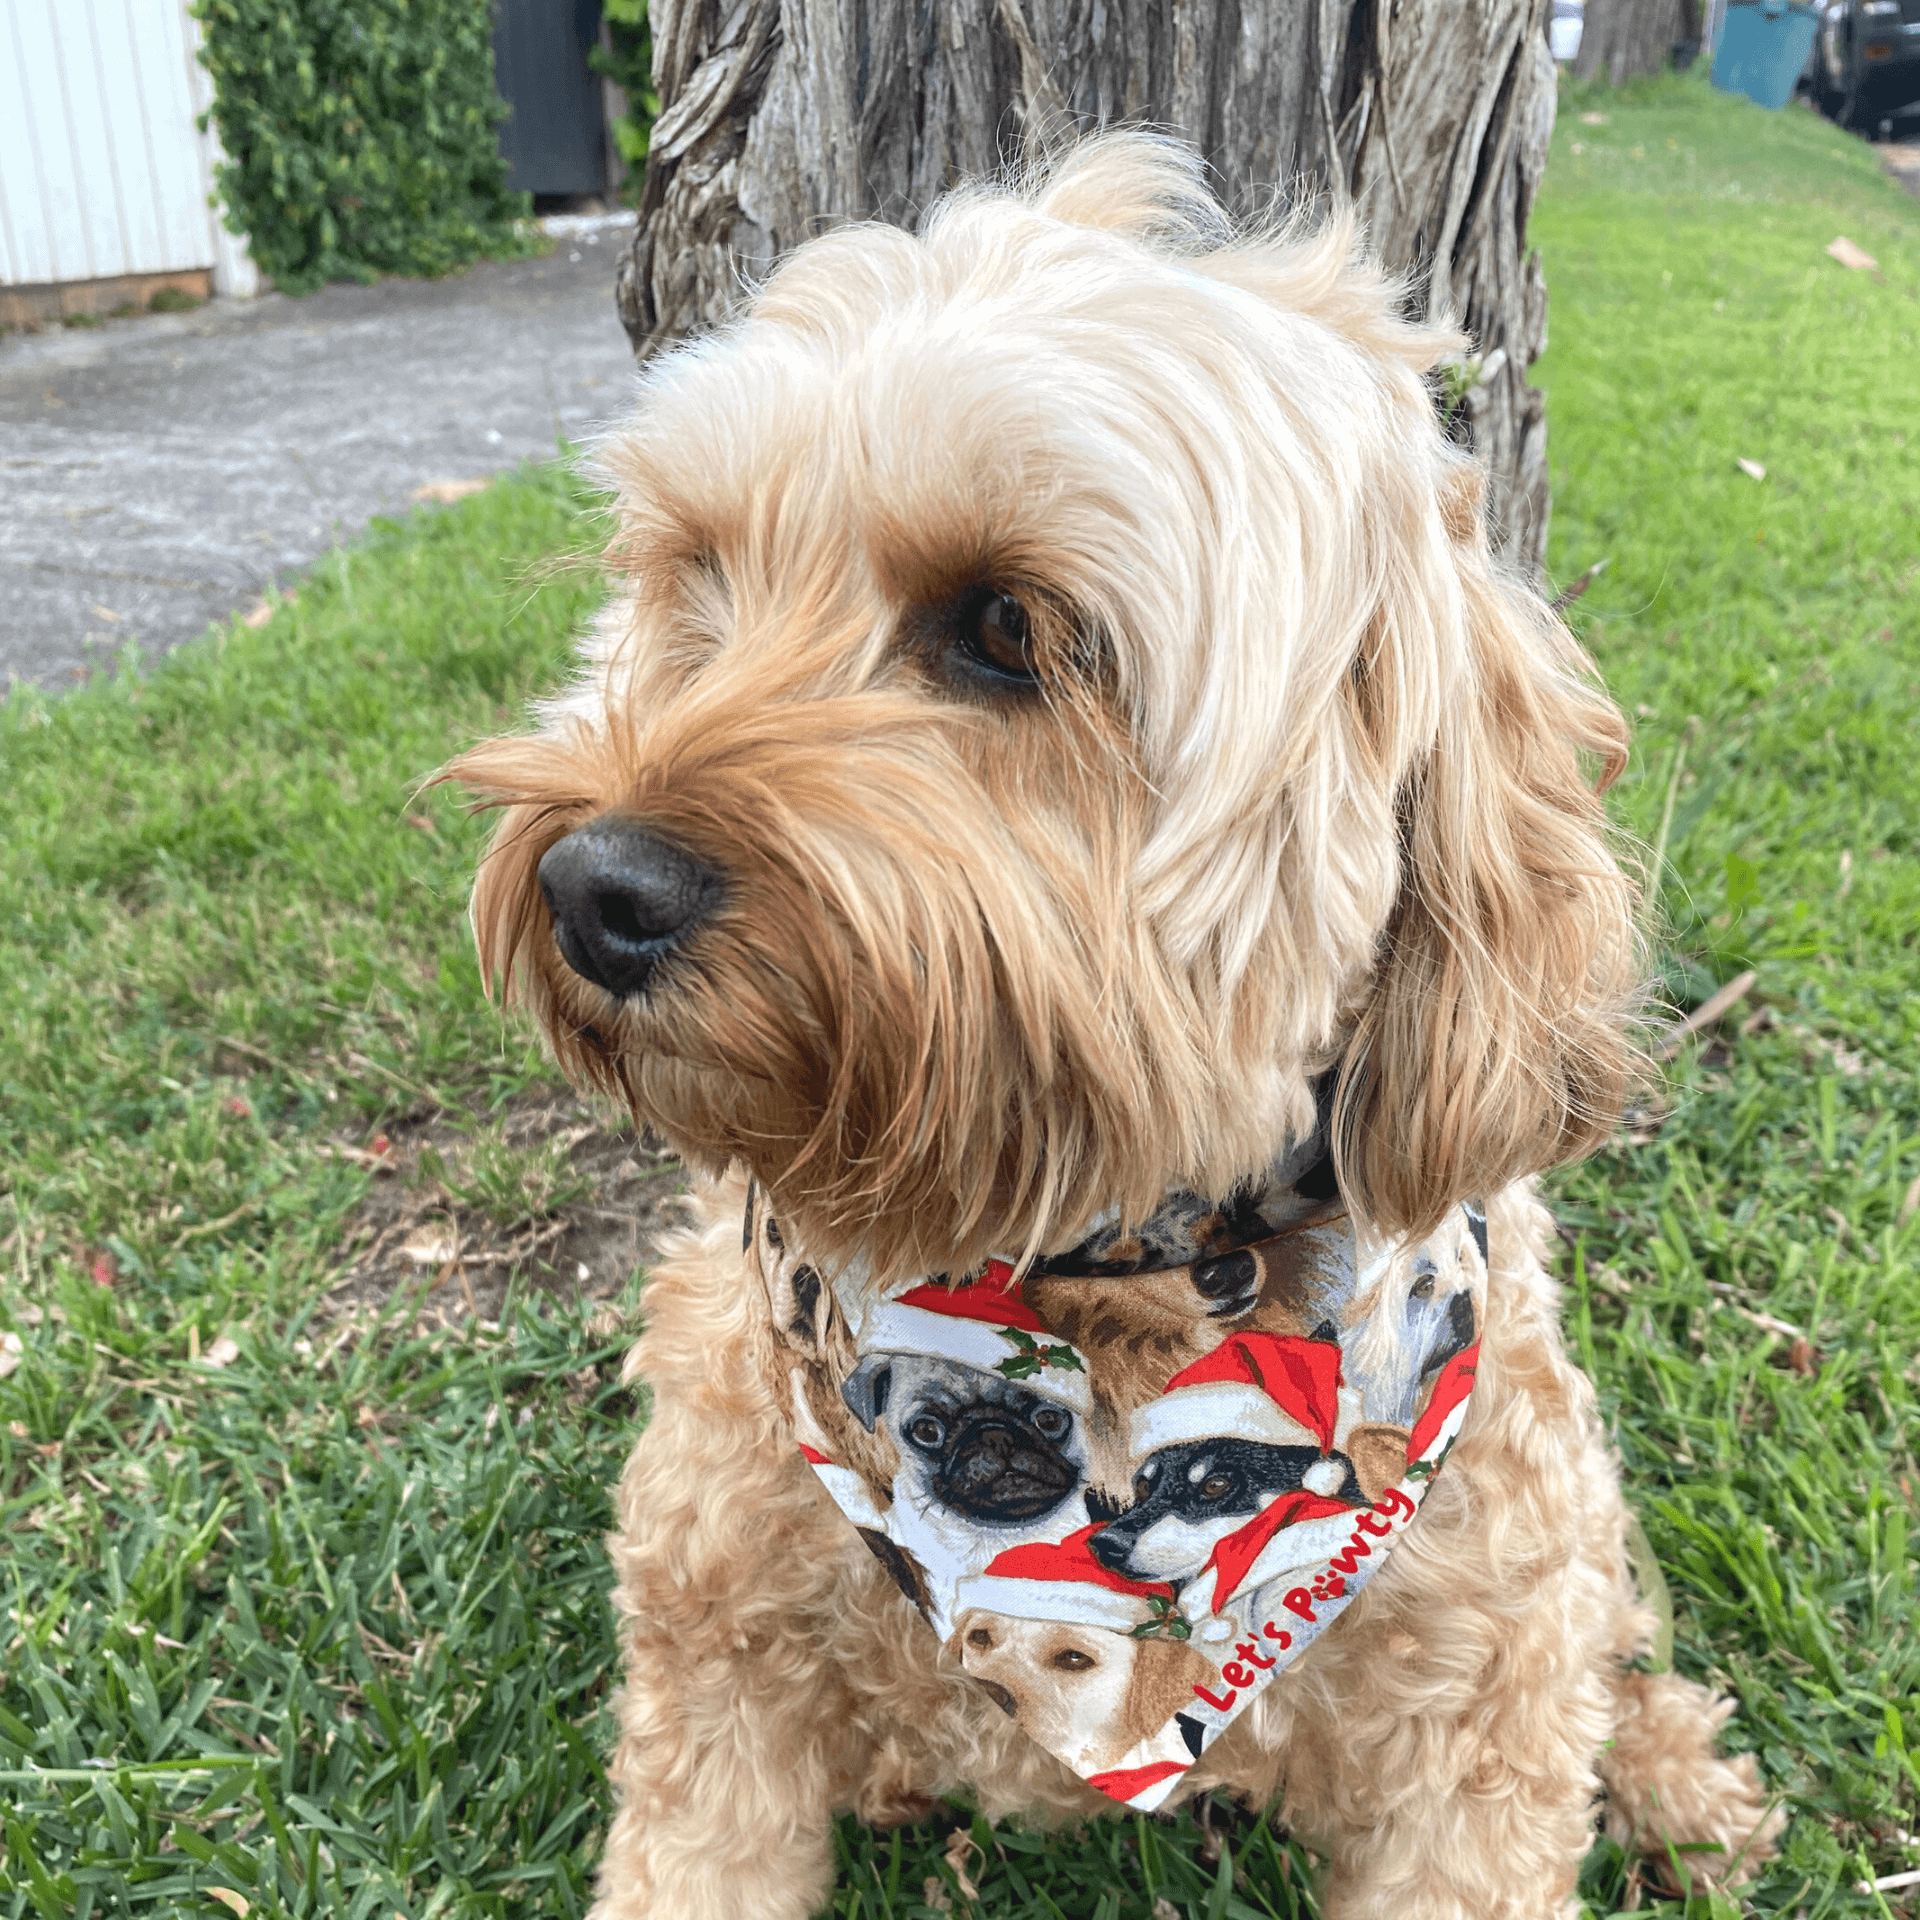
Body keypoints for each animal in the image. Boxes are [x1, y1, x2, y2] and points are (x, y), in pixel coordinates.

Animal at [449, 135, 1781, 1920]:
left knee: (1611, 1635)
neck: (1091, 1282)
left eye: (1008, 629)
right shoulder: (715, 1664)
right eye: (699, 579)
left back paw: (1678, 1779)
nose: (593, 886)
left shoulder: (1471, 1737)